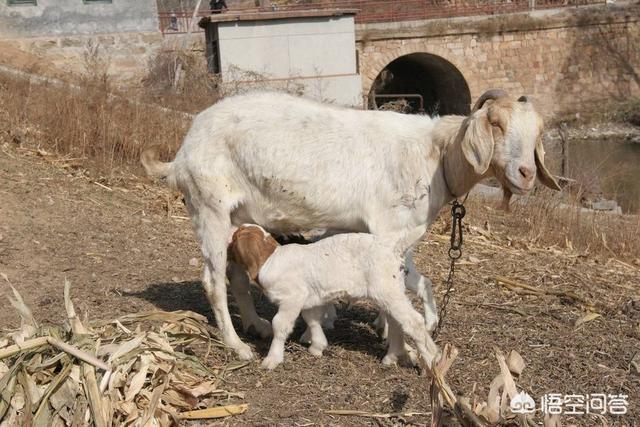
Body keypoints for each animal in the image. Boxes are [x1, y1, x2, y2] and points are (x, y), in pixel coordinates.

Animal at [141, 89, 560, 362]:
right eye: (496, 124)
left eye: (538, 132)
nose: (526, 174)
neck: (435, 156)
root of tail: (182, 153)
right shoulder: (389, 230)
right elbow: (397, 291)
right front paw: (396, 342)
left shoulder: (391, 238)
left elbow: (414, 281)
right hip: (209, 205)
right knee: (213, 281)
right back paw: (238, 346)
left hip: (237, 216)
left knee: (238, 276)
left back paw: (257, 326)